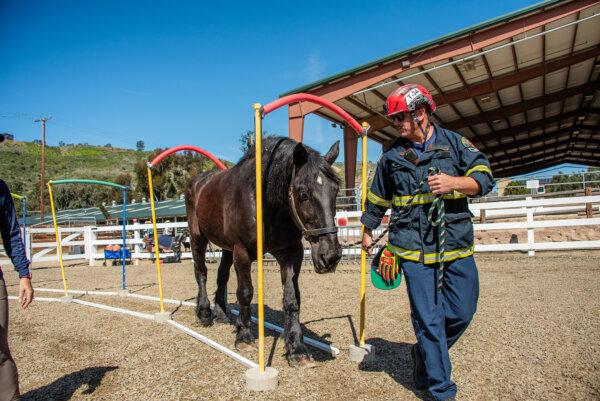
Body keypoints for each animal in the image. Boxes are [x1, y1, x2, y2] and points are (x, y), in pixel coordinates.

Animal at [183, 136, 342, 364]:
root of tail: (197, 182)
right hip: (198, 238)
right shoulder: (242, 251)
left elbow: (292, 299)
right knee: (201, 273)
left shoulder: (291, 253)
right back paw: (204, 313)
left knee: (221, 276)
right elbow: (245, 293)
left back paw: (221, 314)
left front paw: (296, 347)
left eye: (336, 190)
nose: (330, 256)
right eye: (303, 194)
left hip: (226, 248)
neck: (264, 202)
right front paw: (244, 335)